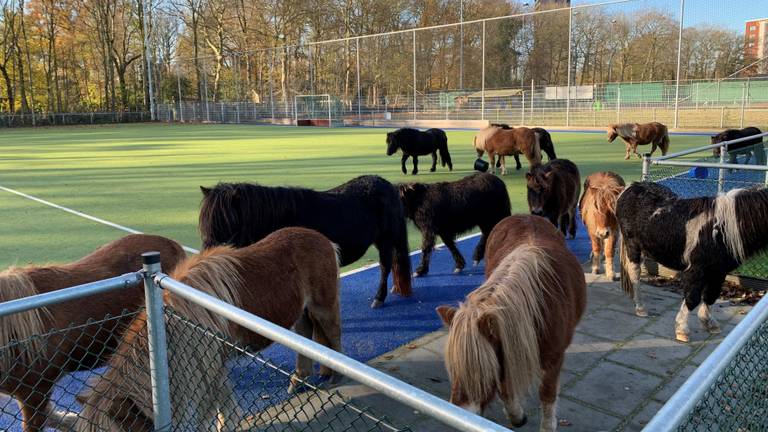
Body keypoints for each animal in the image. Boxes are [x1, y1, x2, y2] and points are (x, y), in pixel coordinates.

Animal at [72, 228, 342, 430]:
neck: (176, 325)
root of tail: (322, 238)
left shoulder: (208, 370)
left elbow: (213, 413)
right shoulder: (212, 368)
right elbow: (224, 407)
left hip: (323, 307)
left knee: (334, 335)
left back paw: (335, 377)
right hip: (301, 313)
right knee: (306, 336)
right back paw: (299, 379)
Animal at [200, 174, 414, 308]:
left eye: (229, 222)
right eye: (205, 223)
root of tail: (389, 186)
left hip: (386, 240)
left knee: (385, 266)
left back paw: (379, 298)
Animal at [436, 216, 584, 432]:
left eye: (480, 371)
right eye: (452, 368)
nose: (458, 414)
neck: (538, 307)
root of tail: (525, 215)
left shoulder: (554, 358)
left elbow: (547, 393)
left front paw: (547, 426)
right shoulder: (504, 347)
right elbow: (505, 385)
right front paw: (516, 415)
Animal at [616, 181, 768, 340]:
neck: (720, 229)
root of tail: (630, 187)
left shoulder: (719, 271)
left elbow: (711, 295)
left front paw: (709, 323)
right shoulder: (697, 269)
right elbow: (692, 298)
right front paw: (682, 329)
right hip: (633, 248)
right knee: (635, 276)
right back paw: (640, 308)